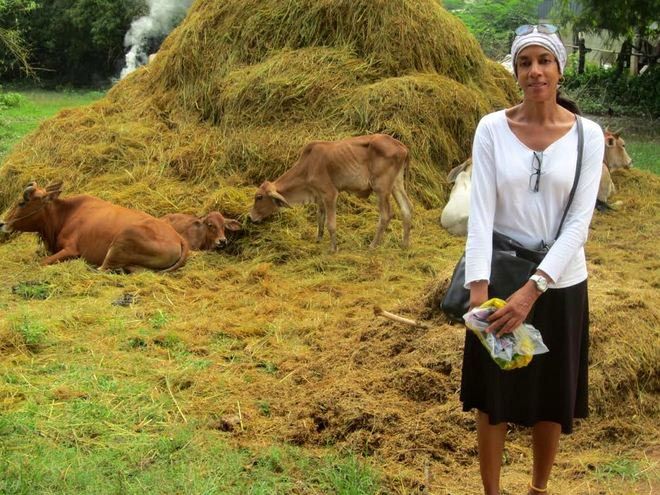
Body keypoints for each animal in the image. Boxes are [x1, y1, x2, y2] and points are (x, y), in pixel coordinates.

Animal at [0, 182, 191, 274]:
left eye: (22, 202)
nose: (2, 223)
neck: (66, 214)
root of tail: (179, 238)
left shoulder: (71, 249)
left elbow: (41, 263)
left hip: (122, 239)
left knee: (102, 269)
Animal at [249, 135, 412, 254]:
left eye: (259, 197)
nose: (250, 217)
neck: (308, 166)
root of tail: (402, 147)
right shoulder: (319, 197)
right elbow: (320, 219)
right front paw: (318, 240)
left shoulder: (330, 194)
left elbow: (330, 224)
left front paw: (333, 248)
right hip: (396, 184)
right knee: (406, 209)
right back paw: (404, 244)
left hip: (381, 188)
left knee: (386, 215)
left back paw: (372, 245)